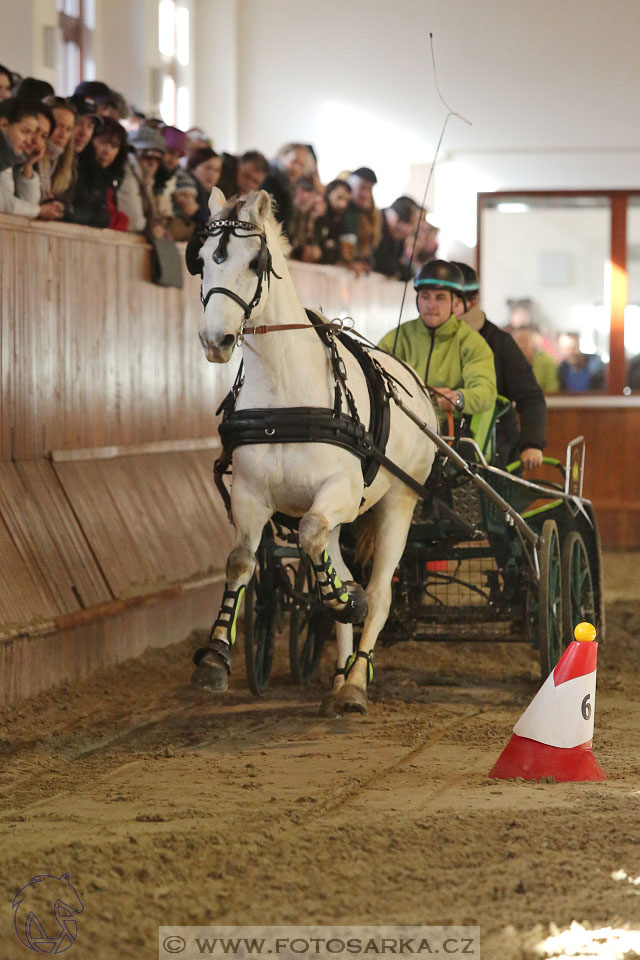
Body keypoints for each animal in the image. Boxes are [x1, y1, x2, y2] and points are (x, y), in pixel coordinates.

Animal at [192, 188, 438, 712]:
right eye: (200, 260)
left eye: (254, 261)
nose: (215, 340)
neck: (286, 395)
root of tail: (419, 388)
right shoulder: (250, 496)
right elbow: (241, 560)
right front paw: (216, 657)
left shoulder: (338, 491)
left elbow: (308, 535)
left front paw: (347, 602)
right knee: (339, 568)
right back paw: (341, 675)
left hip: (398, 501)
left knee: (380, 592)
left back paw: (356, 681)